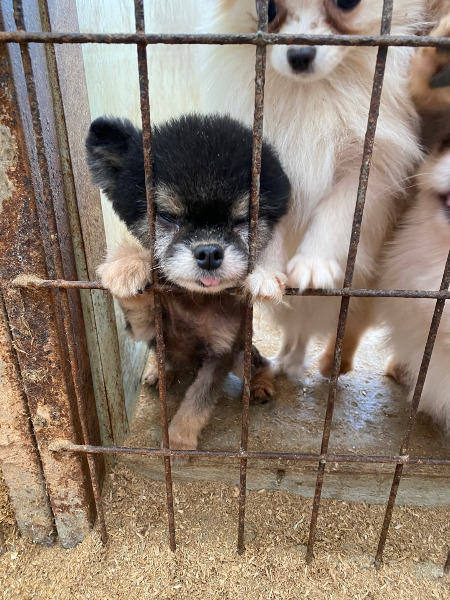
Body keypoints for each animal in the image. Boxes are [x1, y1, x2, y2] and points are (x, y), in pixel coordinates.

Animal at [85, 113, 290, 460]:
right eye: (167, 216)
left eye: (242, 220)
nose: (209, 252)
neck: (195, 301)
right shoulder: (146, 329)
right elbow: (137, 303)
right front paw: (128, 264)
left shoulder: (222, 354)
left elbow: (198, 399)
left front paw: (179, 438)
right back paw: (160, 372)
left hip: (242, 355)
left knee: (259, 364)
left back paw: (261, 385)